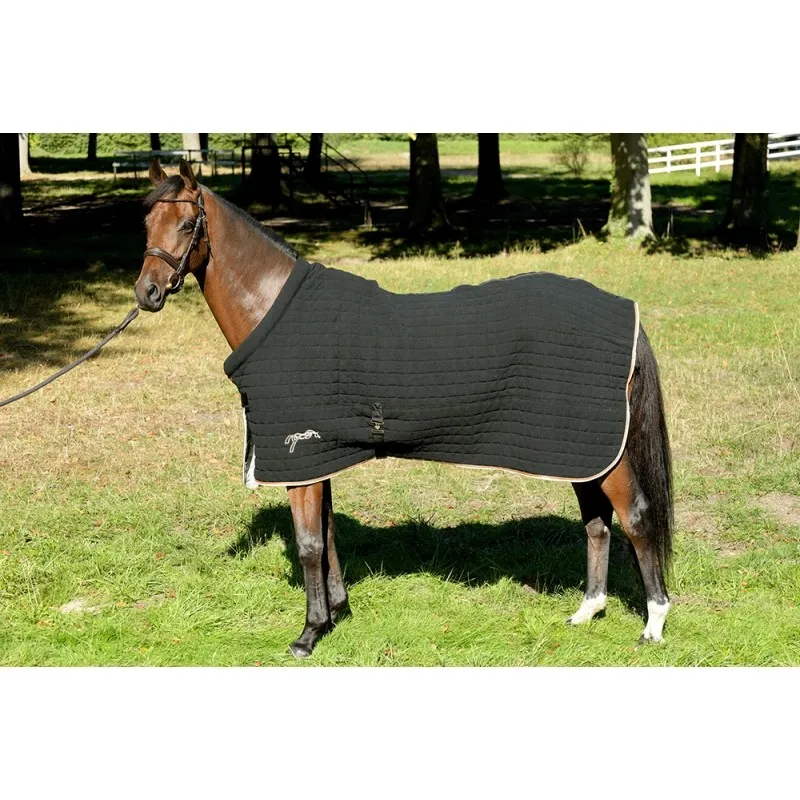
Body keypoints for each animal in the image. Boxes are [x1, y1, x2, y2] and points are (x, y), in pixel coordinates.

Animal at [134, 158, 673, 658]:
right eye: (146, 222)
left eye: (187, 224)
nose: (147, 293)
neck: (277, 313)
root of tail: (625, 312)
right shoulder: (322, 455)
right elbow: (329, 535)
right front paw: (339, 612)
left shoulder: (300, 458)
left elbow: (310, 545)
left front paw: (309, 633)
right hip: (578, 451)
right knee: (597, 524)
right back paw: (587, 611)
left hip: (603, 455)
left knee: (636, 519)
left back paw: (653, 624)